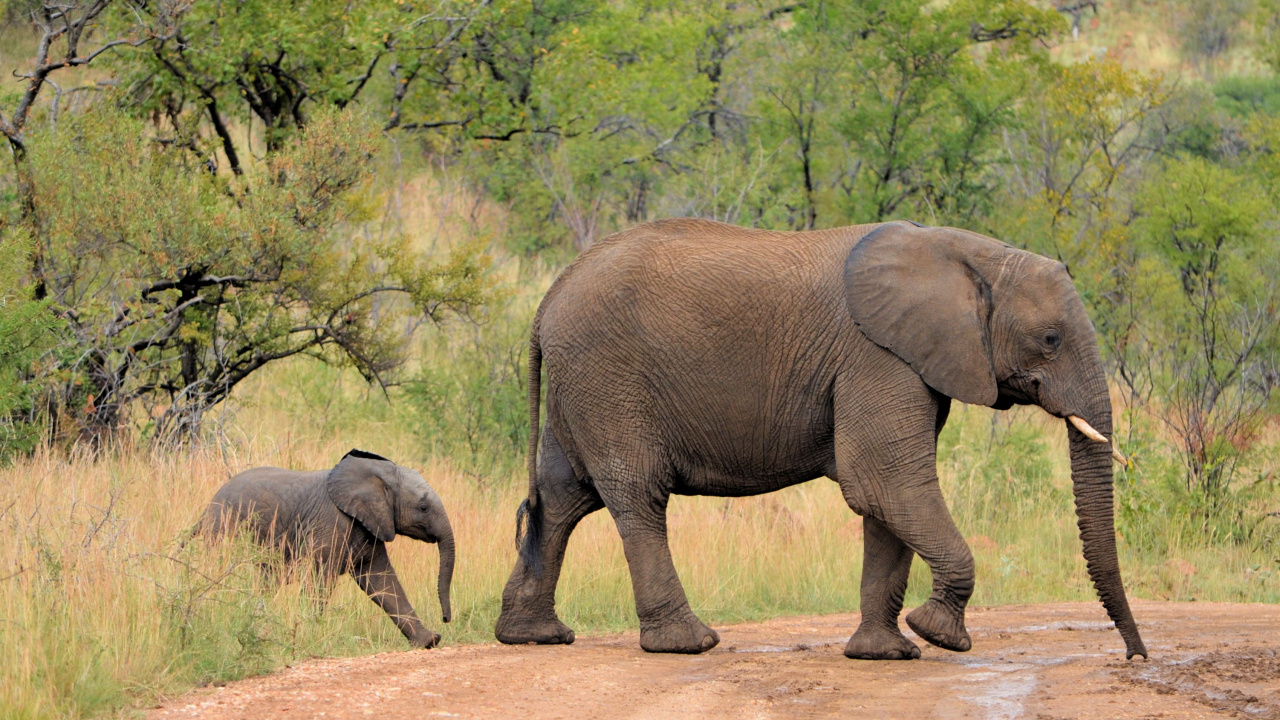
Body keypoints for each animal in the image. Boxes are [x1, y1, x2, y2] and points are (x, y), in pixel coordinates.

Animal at [201, 449, 454, 649]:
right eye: (423, 507)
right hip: (223, 528)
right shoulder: (331, 523)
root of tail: (207, 507)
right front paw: (311, 633)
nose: (446, 619)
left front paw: (428, 641)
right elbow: (319, 579)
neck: (377, 475)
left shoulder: (369, 525)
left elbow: (382, 582)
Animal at [494, 218, 1147, 661]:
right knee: (636, 495)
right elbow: (884, 482)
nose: (1135, 656)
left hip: (585, 382)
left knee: (564, 497)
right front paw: (937, 634)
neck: (971, 253)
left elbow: (887, 499)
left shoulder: (909, 361)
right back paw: (688, 643)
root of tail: (549, 299)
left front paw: (885, 654)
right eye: (1051, 340)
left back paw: (533, 637)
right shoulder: (878, 357)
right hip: (609, 376)